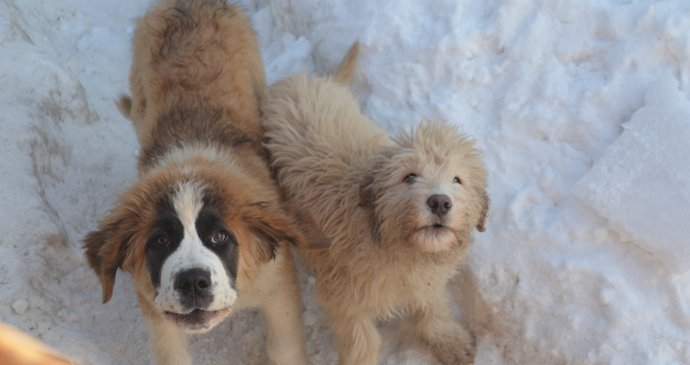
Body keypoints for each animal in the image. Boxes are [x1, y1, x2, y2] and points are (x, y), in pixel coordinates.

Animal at [82, 1, 306, 362]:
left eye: (219, 237)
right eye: (161, 241)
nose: (192, 282)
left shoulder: (277, 286)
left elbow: (284, 346)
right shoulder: (155, 307)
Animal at [260, 43, 486, 364]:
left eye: (457, 179)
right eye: (409, 176)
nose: (440, 202)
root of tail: (302, 79)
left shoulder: (424, 281)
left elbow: (434, 307)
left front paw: (448, 339)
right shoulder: (344, 297)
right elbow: (362, 342)